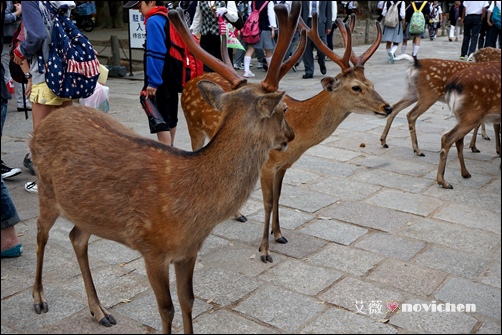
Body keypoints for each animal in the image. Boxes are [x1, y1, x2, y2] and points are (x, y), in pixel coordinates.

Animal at [28, 4, 302, 334]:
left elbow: (188, 301)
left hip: (85, 210)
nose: (291, 136)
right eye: (284, 109)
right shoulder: (152, 249)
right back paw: (39, 299)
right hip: (46, 190)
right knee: (40, 233)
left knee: (76, 238)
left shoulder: (188, 252)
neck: (194, 210)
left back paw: (99, 310)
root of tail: (44, 125)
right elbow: (166, 309)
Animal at [180, 13, 392, 264]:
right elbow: (268, 202)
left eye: (372, 84)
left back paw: (237, 214)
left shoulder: (283, 165)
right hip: (193, 126)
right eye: (356, 87)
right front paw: (264, 250)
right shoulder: (266, 165)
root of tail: (188, 83)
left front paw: (279, 234)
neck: (299, 136)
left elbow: (279, 197)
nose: (387, 107)